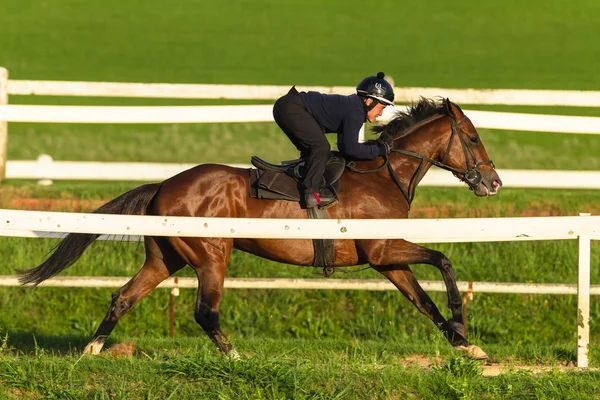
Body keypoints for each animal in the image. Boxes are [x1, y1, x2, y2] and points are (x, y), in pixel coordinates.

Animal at [18, 97, 502, 360]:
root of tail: (164, 184)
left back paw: (92, 351)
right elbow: (444, 260)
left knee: (123, 296)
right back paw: (236, 357)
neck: (384, 174)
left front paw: (464, 344)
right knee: (205, 311)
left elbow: (422, 300)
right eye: (473, 137)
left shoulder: (384, 259)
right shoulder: (384, 249)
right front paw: (461, 324)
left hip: (166, 257)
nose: (494, 182)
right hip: (212, 254)